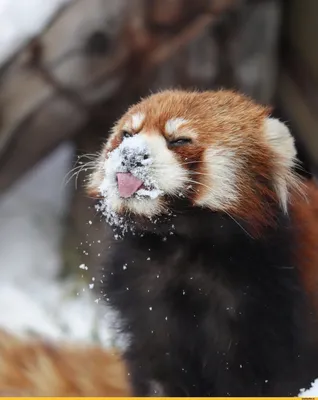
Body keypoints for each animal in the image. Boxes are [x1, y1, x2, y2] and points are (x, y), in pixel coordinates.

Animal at [88, 90, 318, 396]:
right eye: (126, 134)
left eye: (179, 140)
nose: (130, 154)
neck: (180, 245)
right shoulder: (144, 304)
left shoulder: (270, 305)